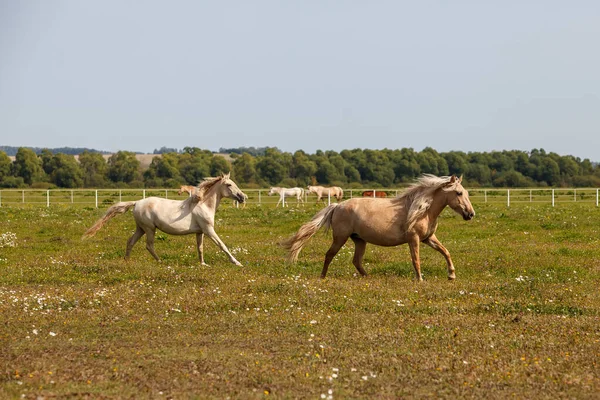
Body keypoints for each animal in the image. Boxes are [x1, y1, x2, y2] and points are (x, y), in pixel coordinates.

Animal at [82, 173, 246, 268]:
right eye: (229, 184)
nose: (243, 197)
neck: (203, 204)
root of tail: (136, 202)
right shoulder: (208, 230)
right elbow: (222, 245)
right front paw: (237, 263)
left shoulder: (200, 232)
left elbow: (200, 248)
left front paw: (203, 264)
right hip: (149, 229)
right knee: (149, 245)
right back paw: (161, 262)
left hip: (141, 228)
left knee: (130, 242)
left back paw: (126, 261)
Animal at [284, 175, 476, 282]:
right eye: (459, 193)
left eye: (466, 192)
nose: (471, 214)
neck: (423, 210)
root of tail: (337, 206)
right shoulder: (414, 239)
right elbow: (416, 260)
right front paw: (420, 279)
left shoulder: (428, 238)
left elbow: (446, 252)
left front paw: (451, 275)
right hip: (340, 238)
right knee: (329, 255)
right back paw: (322, 278)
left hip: (359, 240)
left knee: (356, 261)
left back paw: (368, 277)